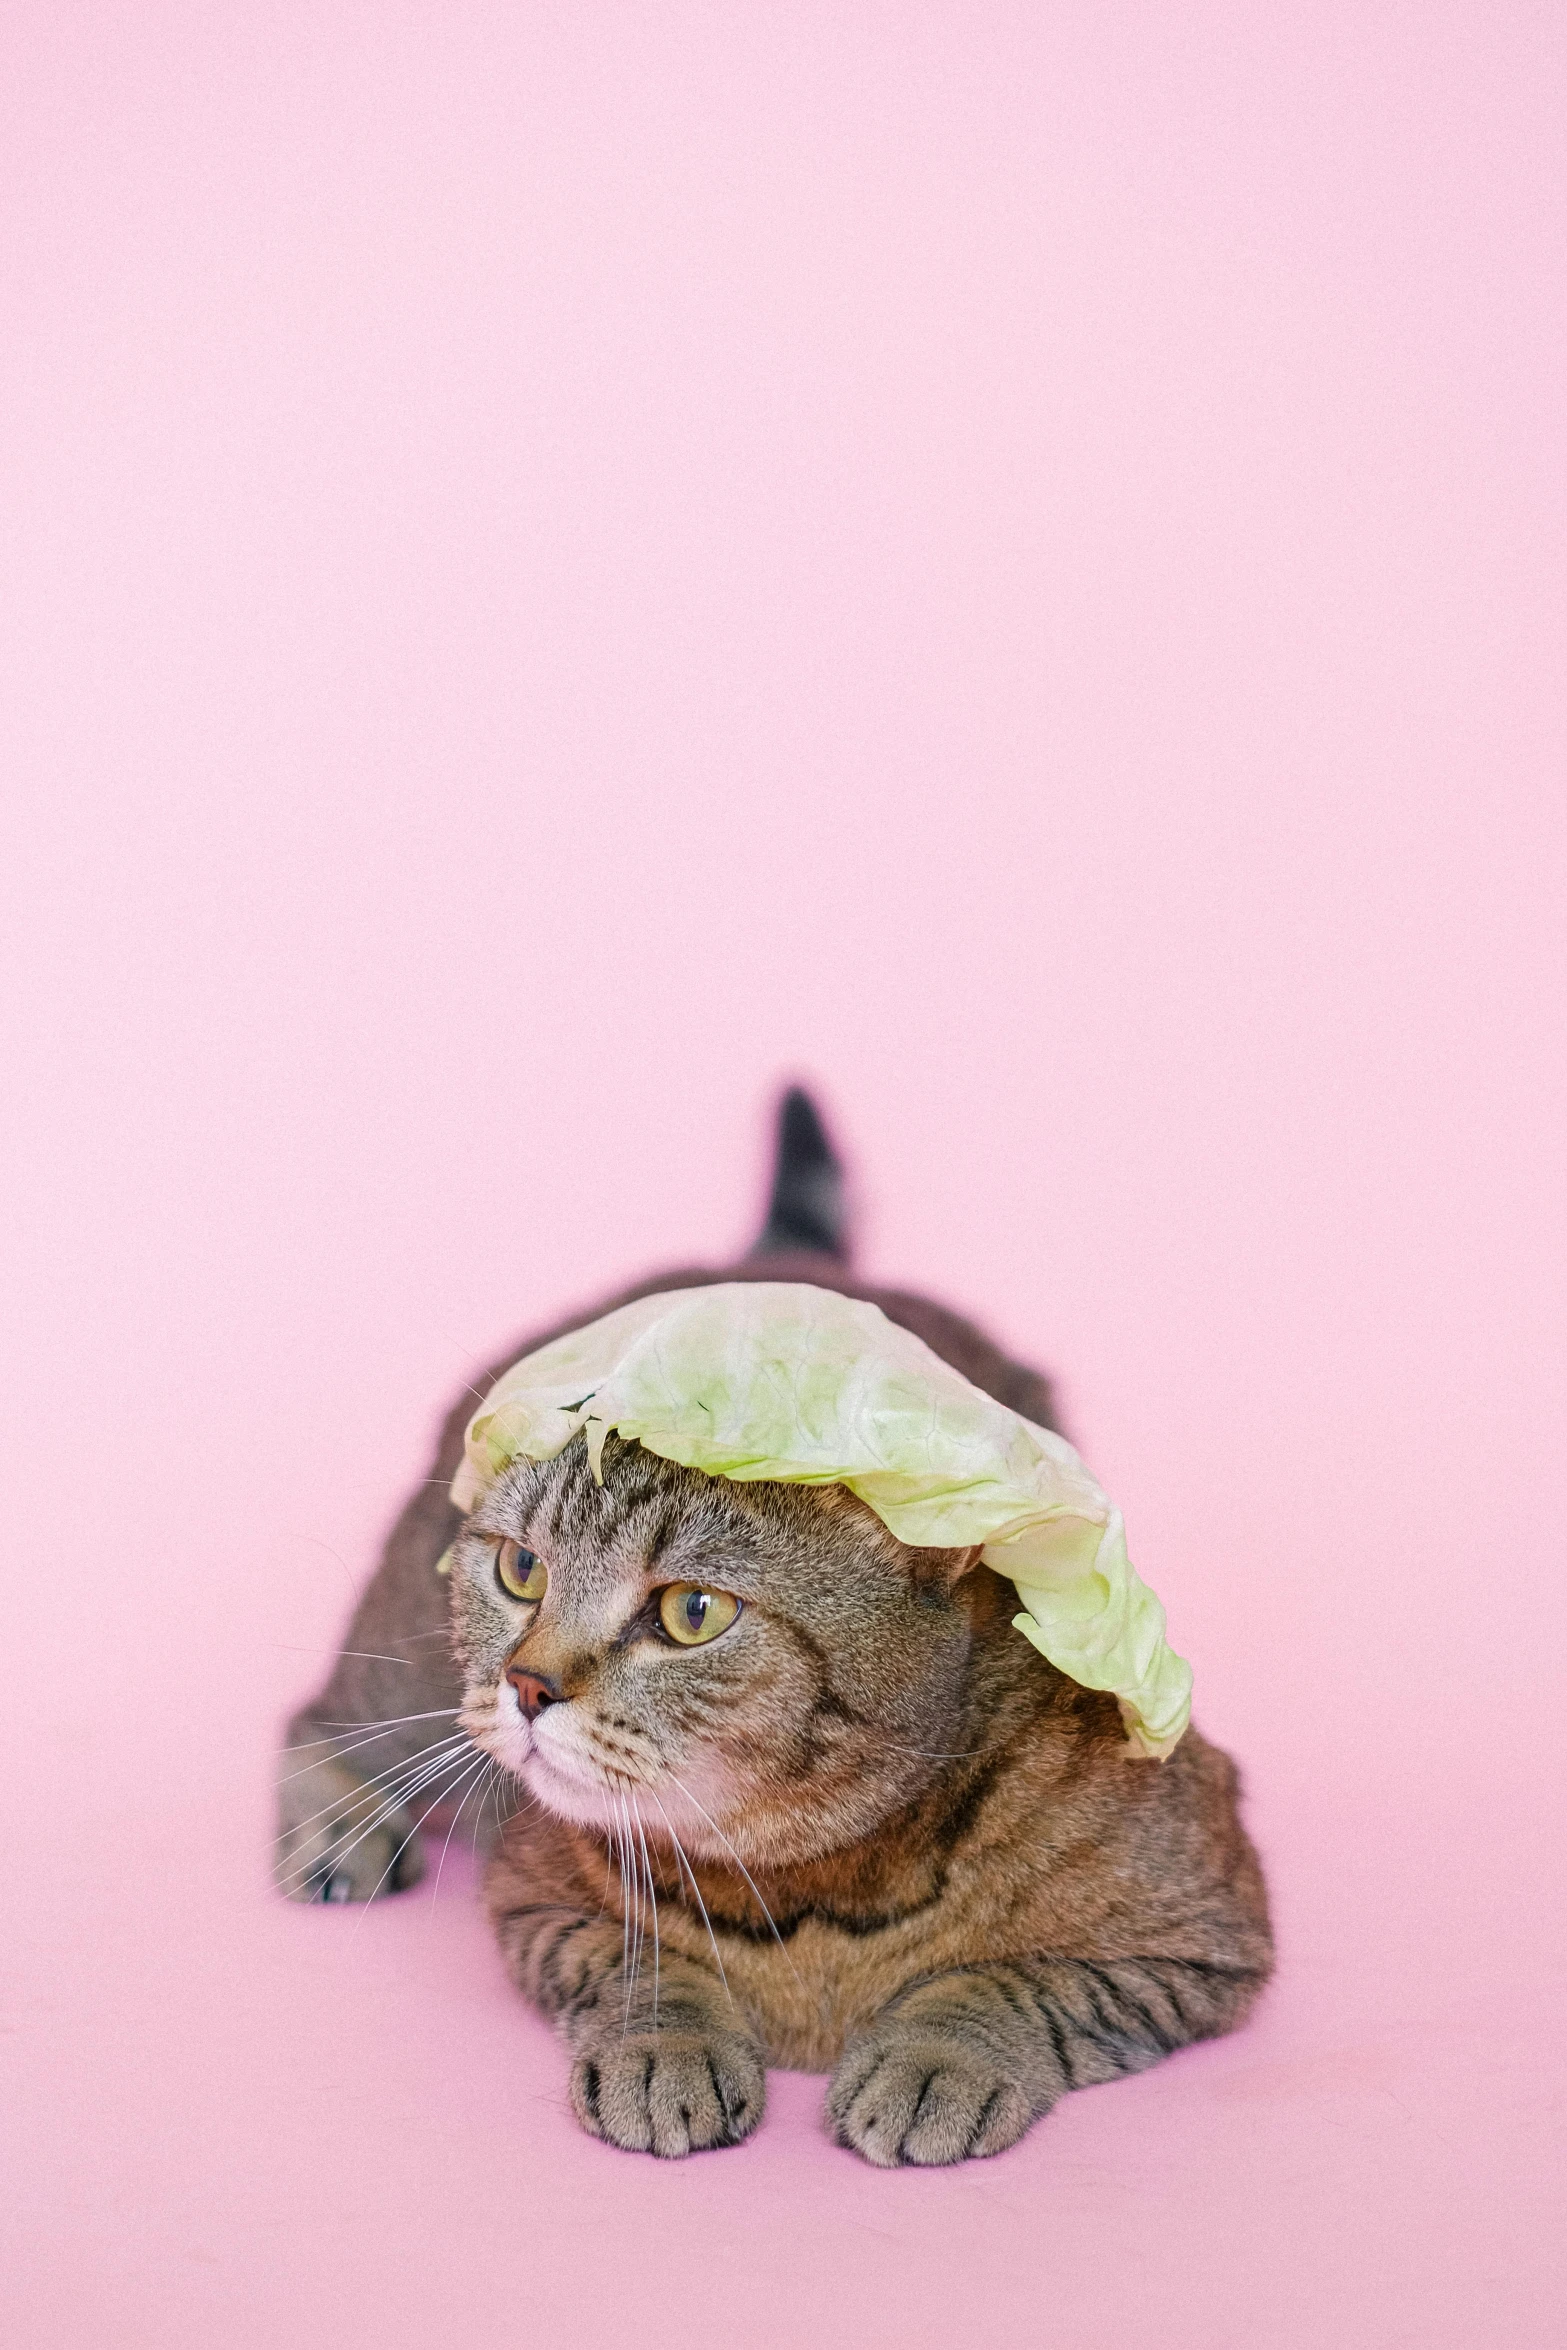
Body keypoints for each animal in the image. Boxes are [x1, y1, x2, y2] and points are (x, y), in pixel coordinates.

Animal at [276, 1095, 1268, 2162]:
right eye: (521, 1569)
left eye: (692, 1613)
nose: (528, 1686)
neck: (812, 1886)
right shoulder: (532, 1893)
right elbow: (637, 1959)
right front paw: (666, 2041)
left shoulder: (1202, 1935)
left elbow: (1011, 1984)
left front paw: (934, 2056)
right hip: (411, 1669)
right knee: (320, 1719)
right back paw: (337, 1829)